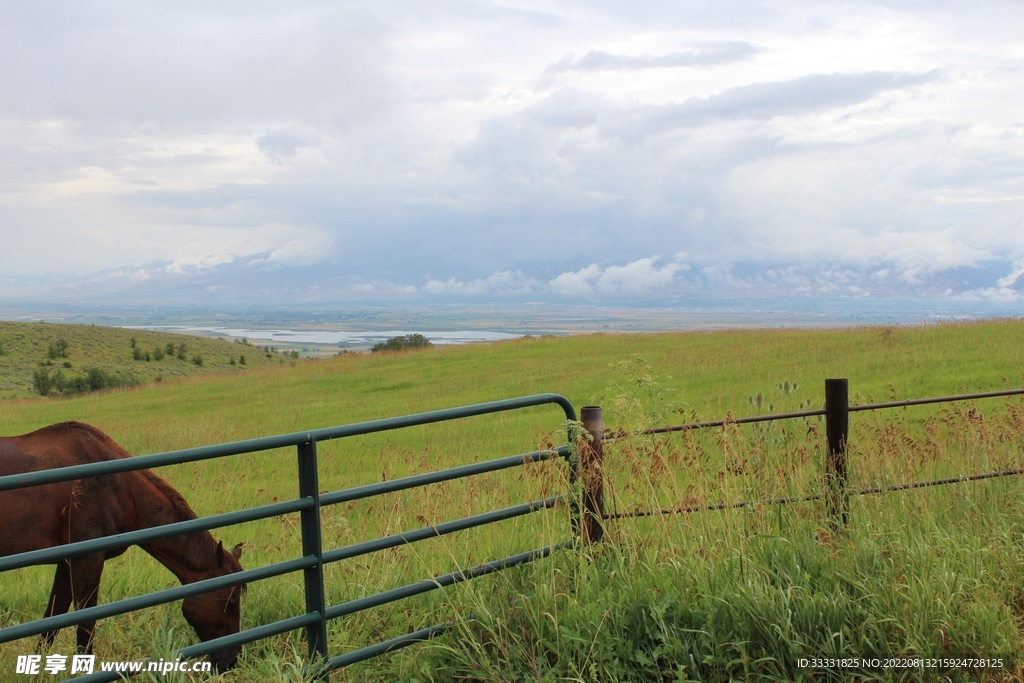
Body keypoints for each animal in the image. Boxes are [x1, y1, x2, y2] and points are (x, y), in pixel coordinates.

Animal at [0, 422, 245, 672]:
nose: (230, 661)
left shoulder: (66, 563)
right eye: (231, 602)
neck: (119, 486)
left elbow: (52, 620)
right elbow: (85, 624)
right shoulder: (87, 560)